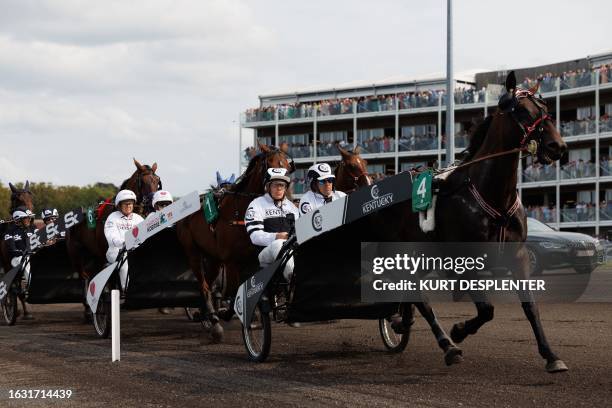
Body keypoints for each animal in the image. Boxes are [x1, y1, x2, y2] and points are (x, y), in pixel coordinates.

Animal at [177, 143, 294, 342]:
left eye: (288, 165)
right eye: (269, 165)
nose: (285, 195)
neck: (241, 213)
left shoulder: (252, 260)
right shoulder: (232, 262)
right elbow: (233, 292)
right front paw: (226, 313)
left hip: (214, 259)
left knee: (209, 282)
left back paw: (206, 315)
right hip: (193, 253)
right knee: (204, 286)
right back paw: (214, 321)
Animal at [378, 71, 568, 372]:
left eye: (545, 108)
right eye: (522, 111)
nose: (557, 146)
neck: (491, 194)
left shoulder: (518, 255)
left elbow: (530, 306)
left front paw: (551, 355)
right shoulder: (465, 259)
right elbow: (487, 310)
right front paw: (458, 331)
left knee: (411, 295)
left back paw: (402, 322)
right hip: (401, 254)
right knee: (420, 299)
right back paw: (447, 346)